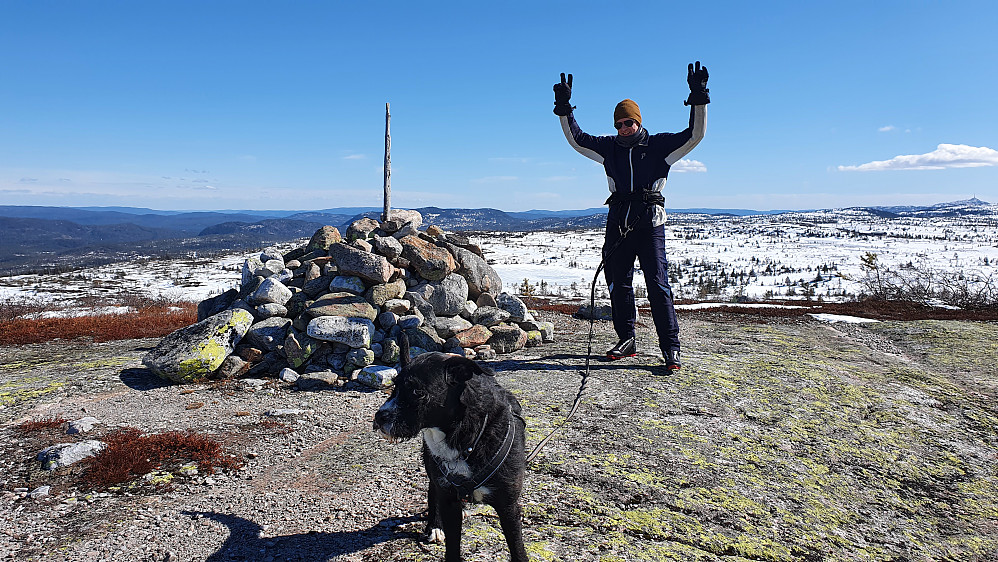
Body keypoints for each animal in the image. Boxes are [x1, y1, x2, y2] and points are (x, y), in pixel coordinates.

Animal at [376, 334, 532, 556]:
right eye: (394, 386)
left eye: (417, 391)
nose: (379, 417)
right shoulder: (448, 499)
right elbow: (452, 547)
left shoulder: (508, 506)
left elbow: (518, 549)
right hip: (433, 469)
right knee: (432, 491)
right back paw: (434, 526)